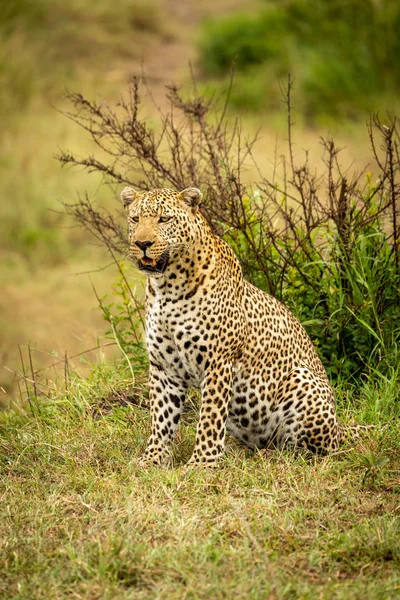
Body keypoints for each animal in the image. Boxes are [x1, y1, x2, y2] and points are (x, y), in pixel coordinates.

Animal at [121, 185, 340, 466]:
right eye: (135, 219)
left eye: (164, 219)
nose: (142, 244)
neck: (166, 288)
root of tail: (341, 430)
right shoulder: (163, 366)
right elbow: (161, 417)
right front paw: (153, 459)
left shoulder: (218, 361)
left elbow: (210, 417)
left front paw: (202, 463)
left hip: (302, 380)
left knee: (313, 450)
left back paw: (274, 457)